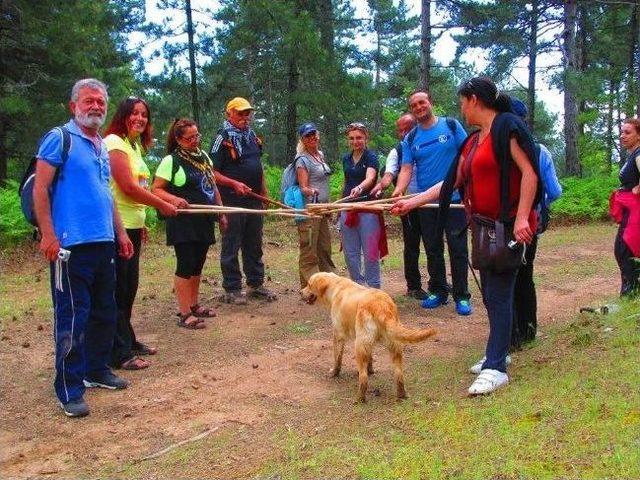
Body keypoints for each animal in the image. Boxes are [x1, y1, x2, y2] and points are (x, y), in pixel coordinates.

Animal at [302, 274, 438, 402]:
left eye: (309, 284)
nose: (300, 292)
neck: (335, 286)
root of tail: (381, 305)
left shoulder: (338, 335)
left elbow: (337, 359)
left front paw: (334, 373)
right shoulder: (368, 343)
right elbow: (370, 359)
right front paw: (371, 370)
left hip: (359, 346)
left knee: (363, 379)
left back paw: (359, 399)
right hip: (394, 345)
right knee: (399, 375)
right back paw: (401, 395)